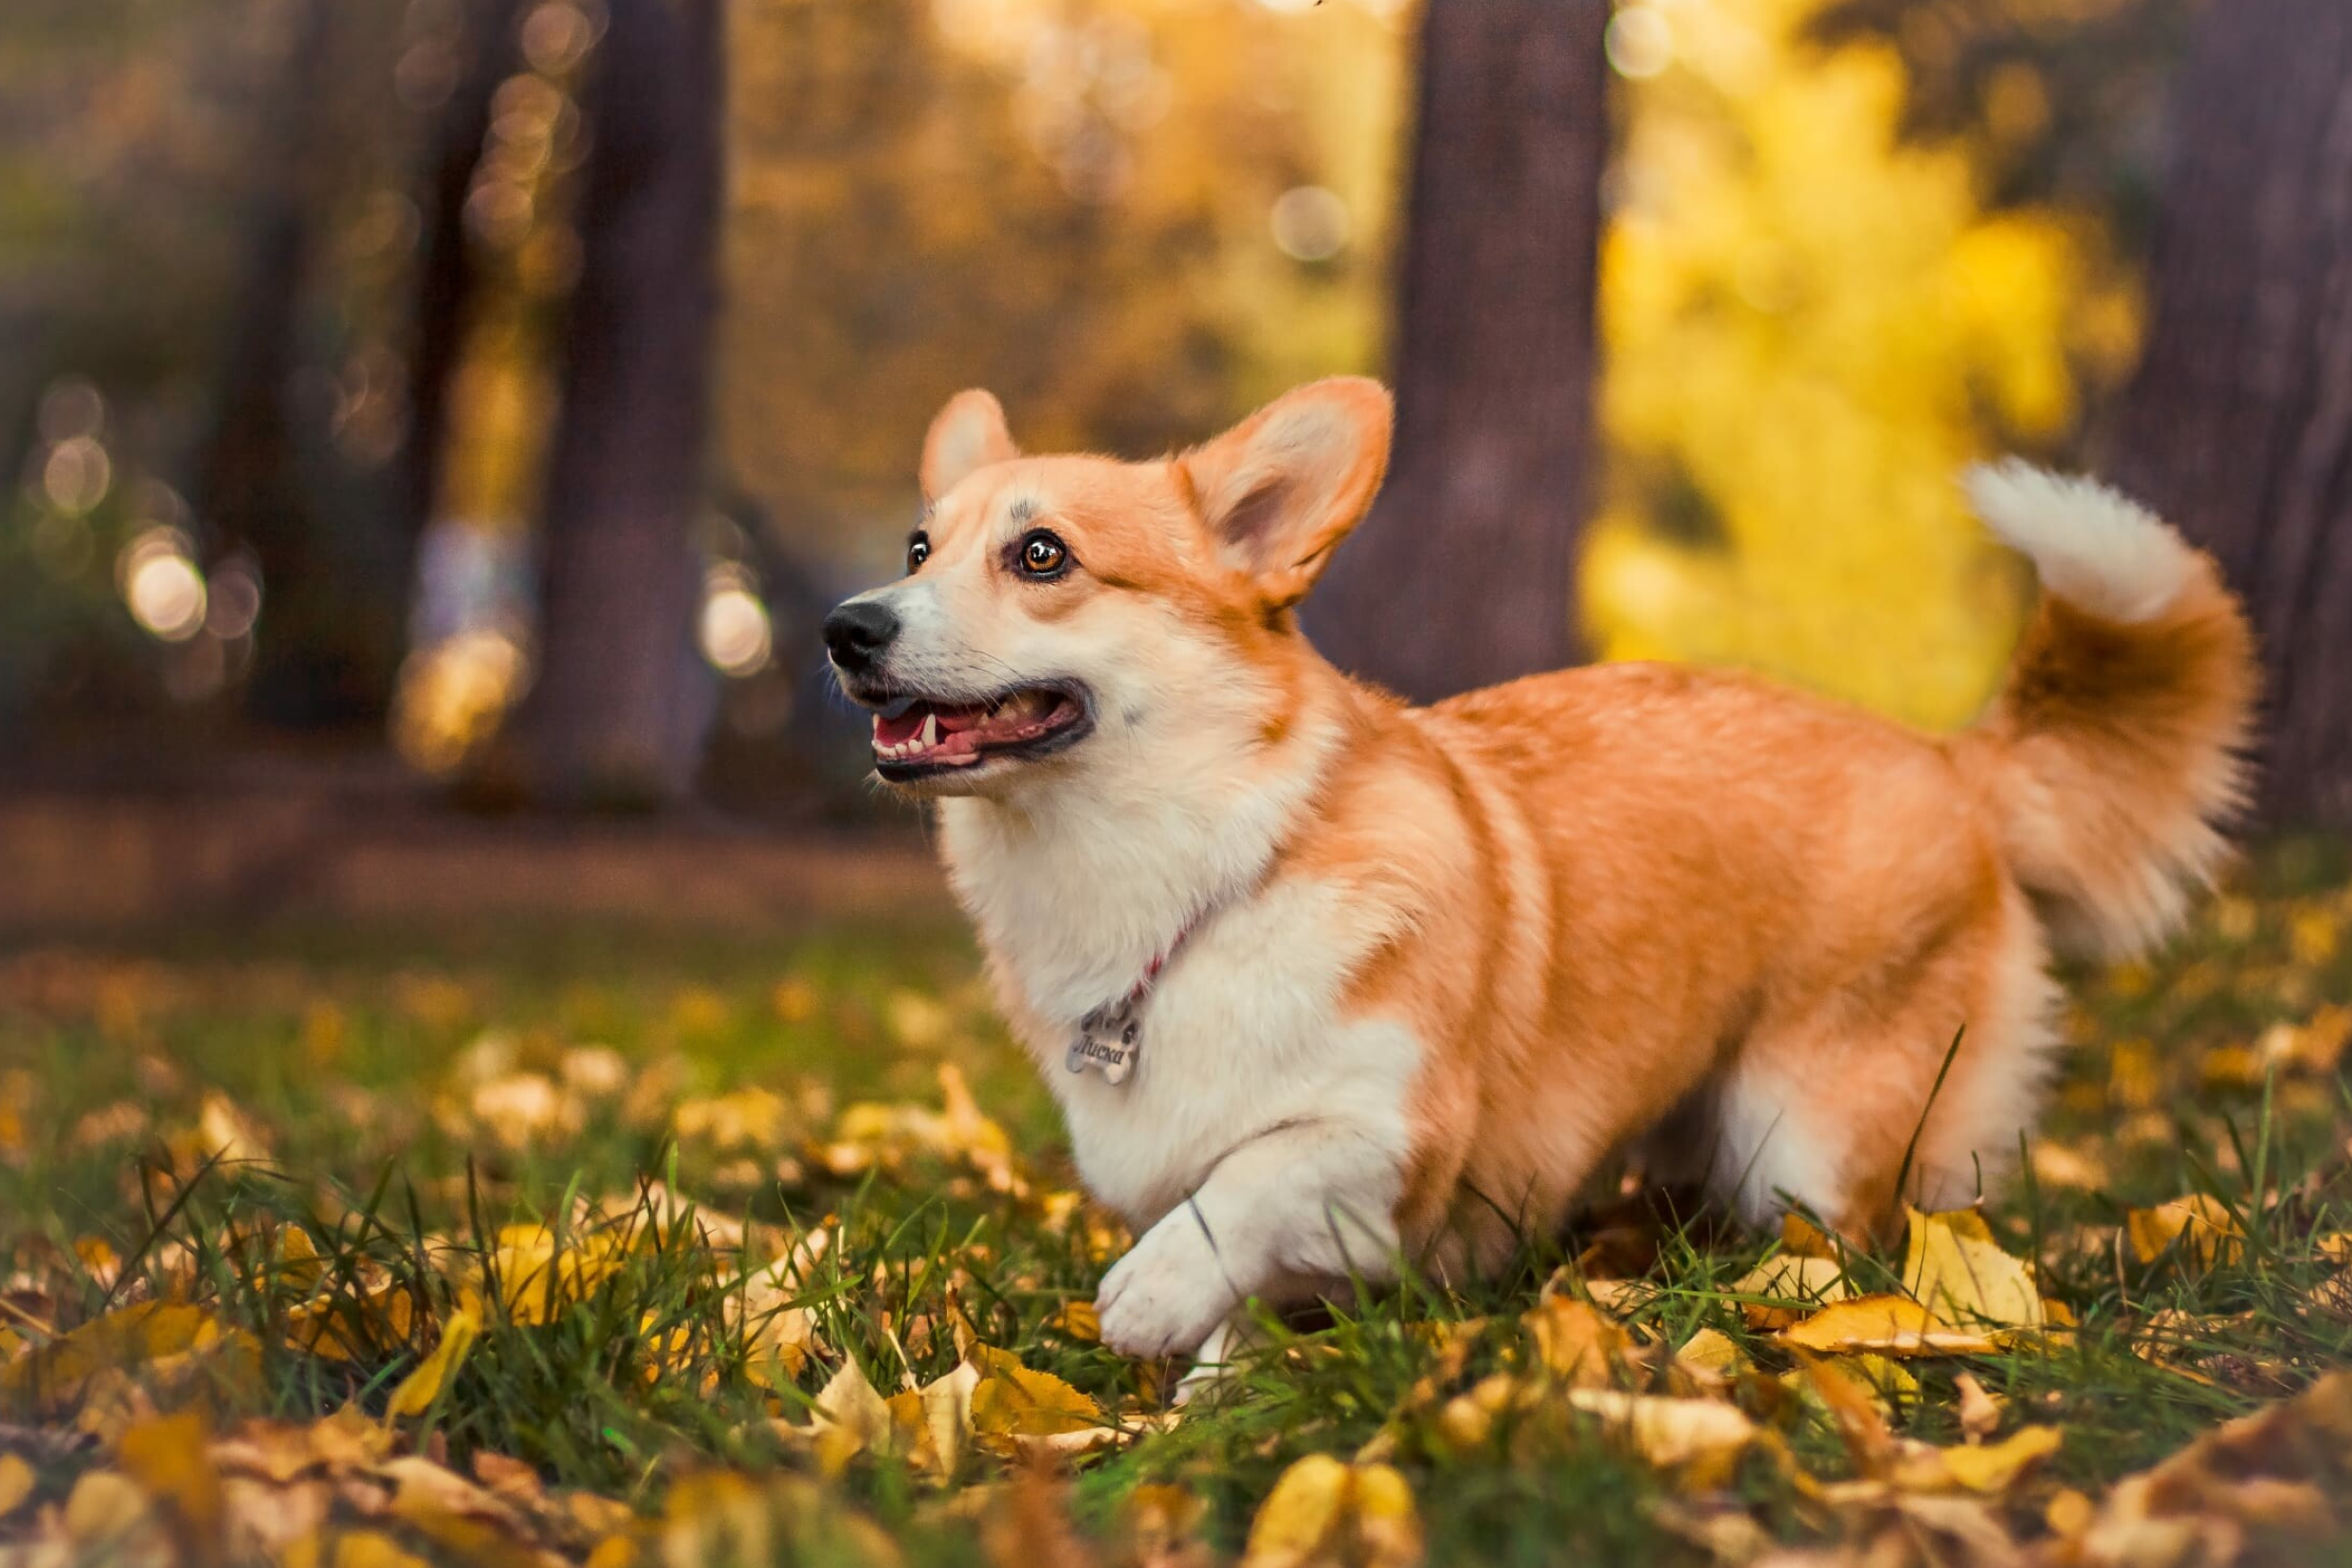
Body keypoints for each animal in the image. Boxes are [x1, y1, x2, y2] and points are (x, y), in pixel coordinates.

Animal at [828, 380, 2258, 1373]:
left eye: (1043, 556)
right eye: (917, 548)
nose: (846, 628)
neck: (1182, 885)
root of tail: (1952, 757)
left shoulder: (1396, 1139)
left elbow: (1256, 1180)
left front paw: (1152, 1296)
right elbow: (1238, 1301)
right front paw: (1205, 1393)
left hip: (1811, 1125)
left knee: (1860, 1242)